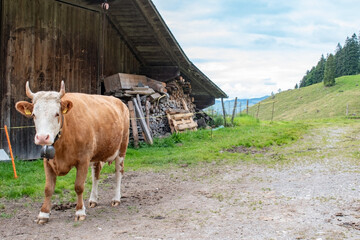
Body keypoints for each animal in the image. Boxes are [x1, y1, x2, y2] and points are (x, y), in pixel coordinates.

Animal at [16, 81, 131, 224]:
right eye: (33, 115)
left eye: (57, 113)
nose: (42, 137)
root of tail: (119, 102)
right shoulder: (47, 161)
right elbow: (48, 189)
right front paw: (43, 214)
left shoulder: (83, 160)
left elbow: (79, 187)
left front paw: (80, 211)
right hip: (97, 153)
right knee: (96, 174)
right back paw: (93, 199)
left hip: (122, 148)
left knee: (118, 173)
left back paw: (116, 198)